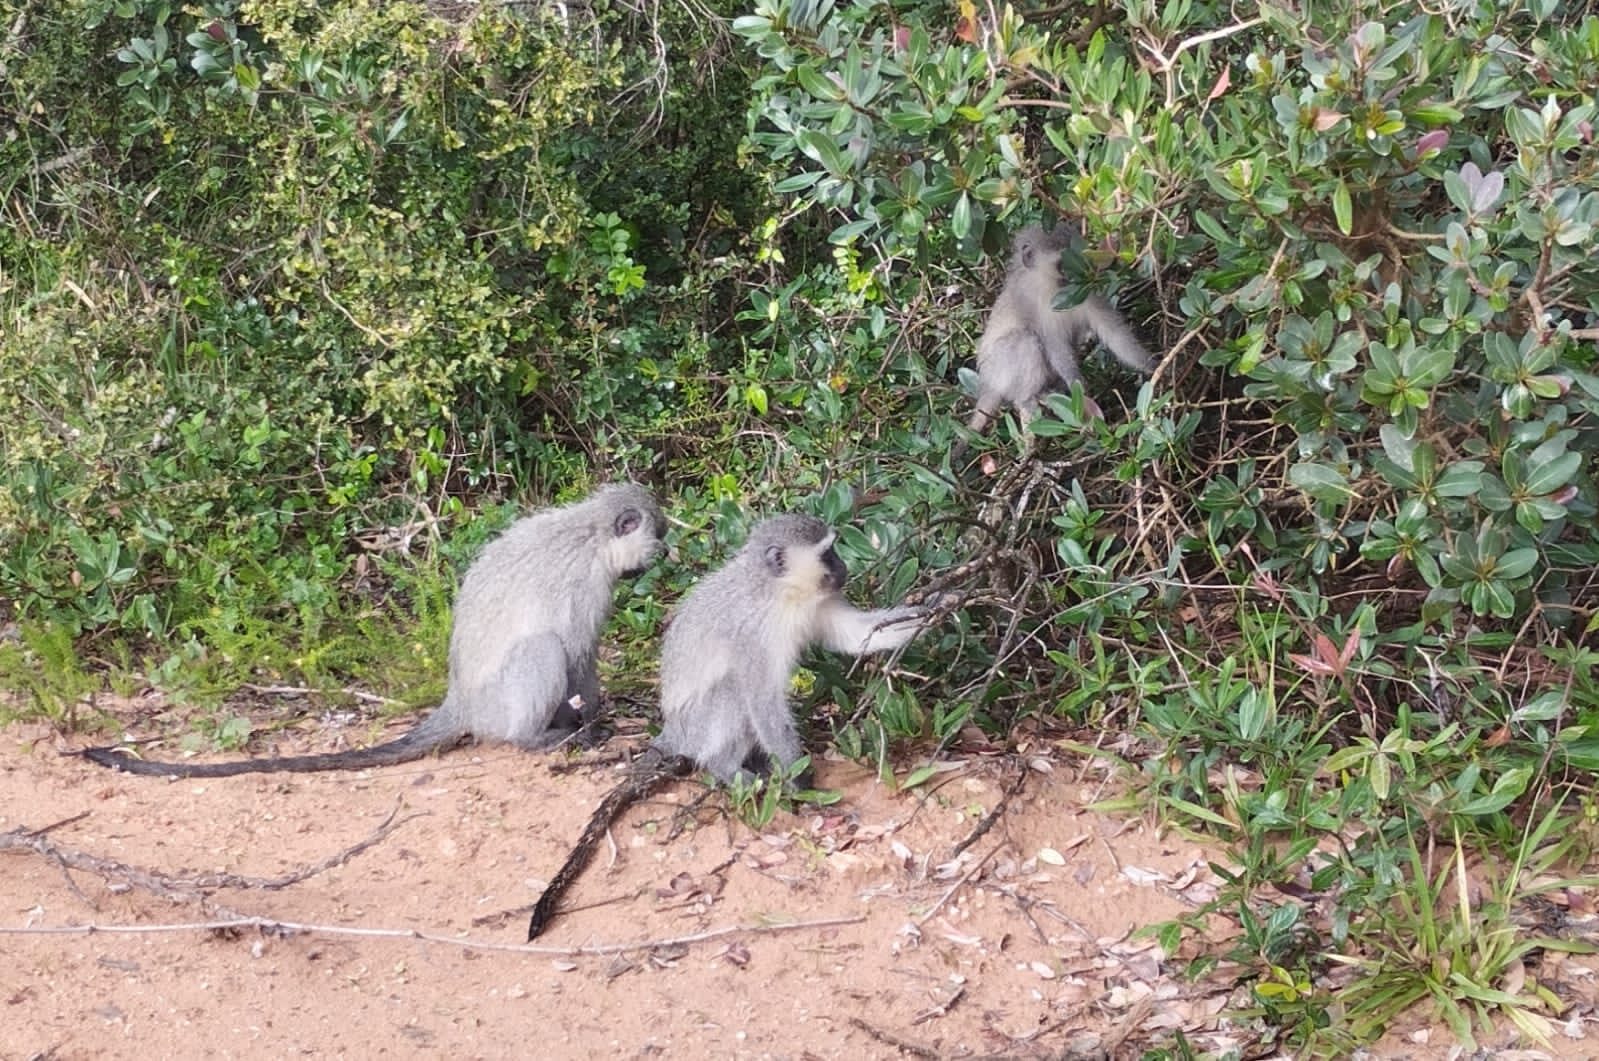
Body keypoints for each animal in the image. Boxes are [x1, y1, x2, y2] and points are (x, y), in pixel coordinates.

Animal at [82, 483, 665, 778]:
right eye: (657, 537)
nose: (664, 556)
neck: (590, 532)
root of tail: (459, 700)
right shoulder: (587, 589)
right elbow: (578, 655)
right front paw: (595, 722)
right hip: (500, 703)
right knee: (541, 652)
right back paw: (539, 737)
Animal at [527, 513, 932, 940]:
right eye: (827, 553)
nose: (843, 568)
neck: (778, 593)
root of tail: (674, 729)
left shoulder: (814, 605)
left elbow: (854, 636)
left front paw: (932, 611)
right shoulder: (751, 636)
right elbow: (761, 699)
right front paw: (801, 783)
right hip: (699, 723)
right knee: (733, 692)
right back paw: (727, 767)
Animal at [965, 224, 1154, 438]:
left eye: (1081, 259)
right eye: (1063, 264)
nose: (1080, 277)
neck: (1051, 289)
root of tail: (987, 385)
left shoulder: (1085, 293)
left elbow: (1114, 333)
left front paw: (1152, 365)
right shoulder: (1036, 305)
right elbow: (1055, 346)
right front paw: (1078, 388)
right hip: (998, 368)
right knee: (1025, 341)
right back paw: (1028, 400)